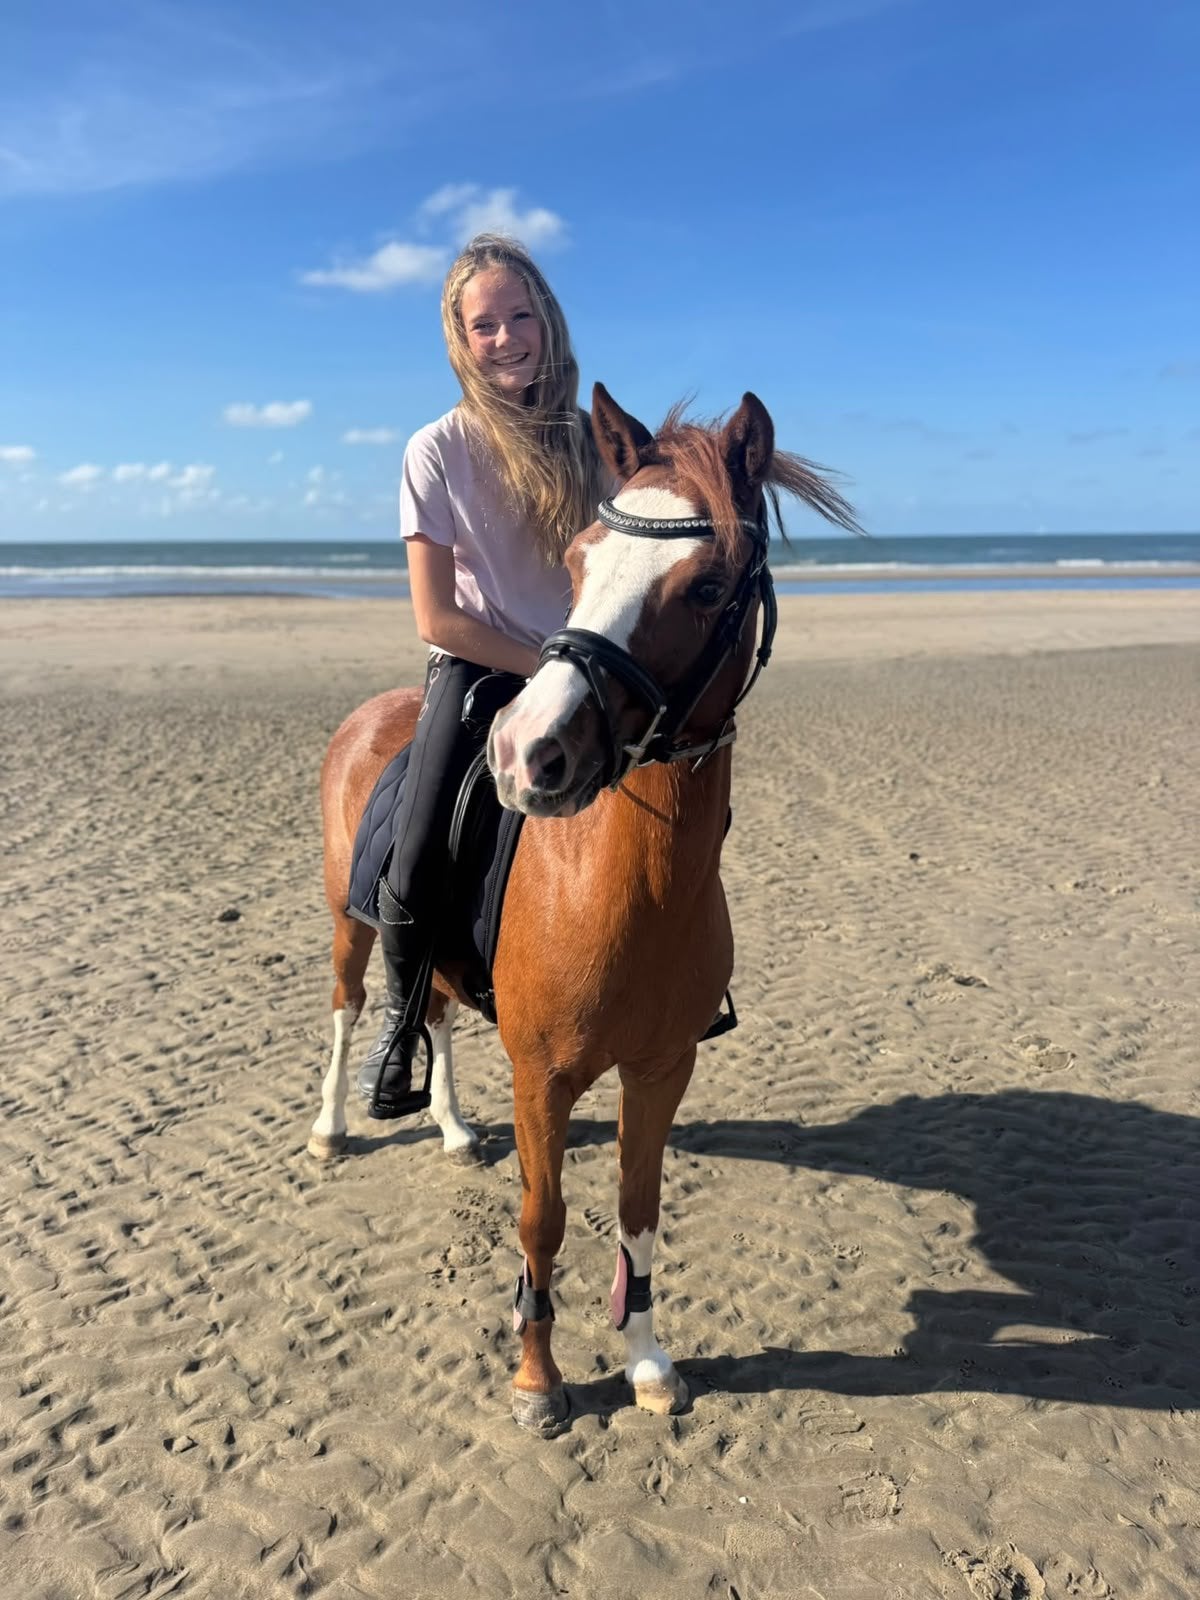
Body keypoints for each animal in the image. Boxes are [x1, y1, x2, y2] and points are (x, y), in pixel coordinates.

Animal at [308, 383, 858, 1434]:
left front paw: (646, 1360)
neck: (623, 892)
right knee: (354, 1010)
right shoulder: (544, 1079)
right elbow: (544, 1219)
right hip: (352, 923)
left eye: (707, 588)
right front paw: (537, 1378)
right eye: (578, 563)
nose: (527, 752)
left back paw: (451, 1129)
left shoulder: (662, 1071)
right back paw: (331, 1125)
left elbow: (639, 1215)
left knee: (438, 1013)